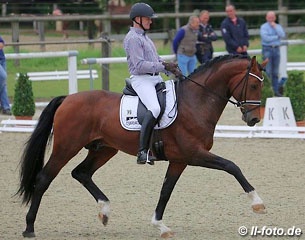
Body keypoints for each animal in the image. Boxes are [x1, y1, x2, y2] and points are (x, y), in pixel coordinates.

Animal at [17, 54, 266, 238]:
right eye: (254, 84)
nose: (254, 119)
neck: (196, 102)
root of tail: (67, 99)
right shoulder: (195, 154)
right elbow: (232, 166)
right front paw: (257, 202)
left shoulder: (180, 160)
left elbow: (166, 191)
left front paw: (160, 225)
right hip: (66, 148)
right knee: (44, 178)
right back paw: (29, 228)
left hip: (104, 149)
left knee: (81, 173)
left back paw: (105, 211)